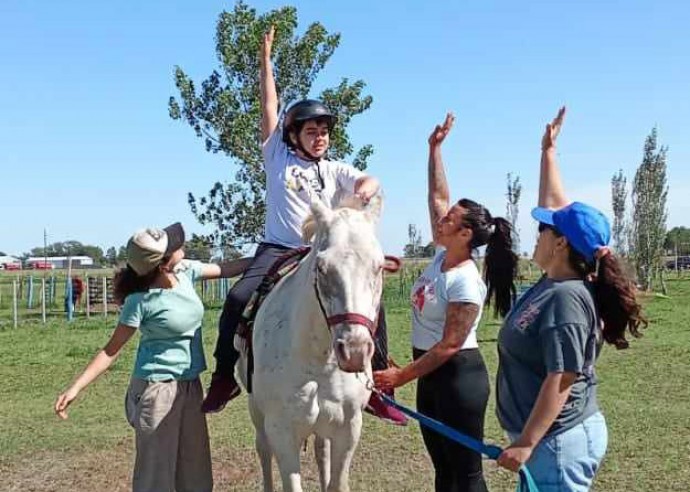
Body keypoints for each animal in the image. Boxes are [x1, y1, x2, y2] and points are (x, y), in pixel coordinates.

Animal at [236, 195, 388, 492]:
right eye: (322, 268)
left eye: (378, 266)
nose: (354, 352)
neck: (319, 361)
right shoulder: (282, 432)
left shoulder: (348, 428)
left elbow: (336, 482)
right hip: (256, 411)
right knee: (263, 450)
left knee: (321, 451)